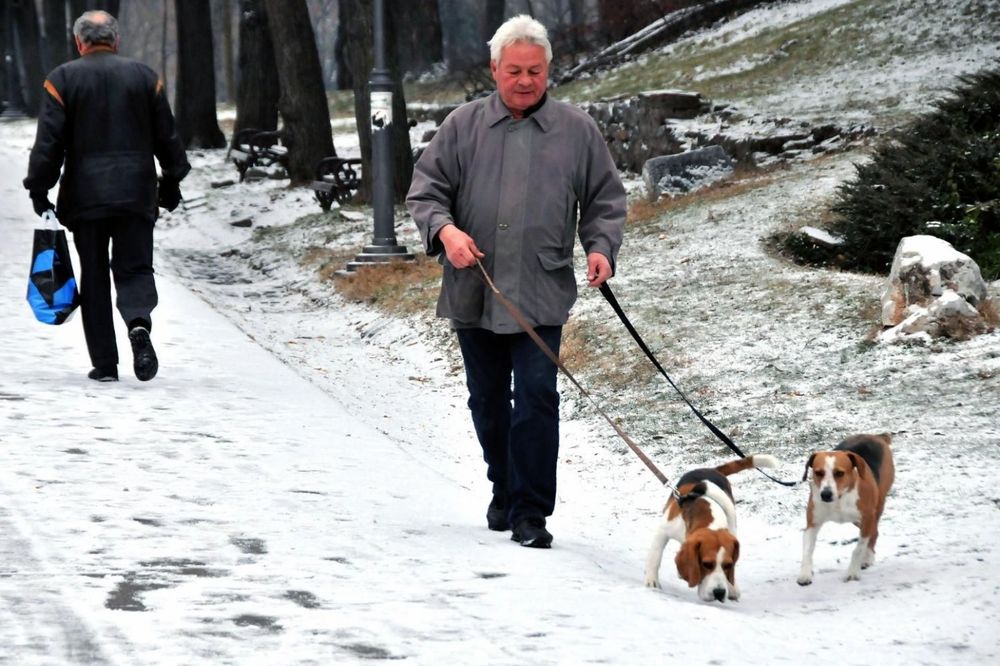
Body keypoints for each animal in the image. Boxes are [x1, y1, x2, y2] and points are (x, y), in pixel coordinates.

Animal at [640, 452, 780, 600]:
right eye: (706, 564)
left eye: (728, 565)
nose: (719, 593)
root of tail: (713, 470)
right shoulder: (663, 531)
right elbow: (655, 556)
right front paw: (652, 580)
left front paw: (731, 586)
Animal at [796, 430, 900, 580]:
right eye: (818, 473)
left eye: (839, 473)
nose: (826, 494)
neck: (840, 499)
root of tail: (877, 436)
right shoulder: (812, 524)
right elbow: (807, 551)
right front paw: (805, 574)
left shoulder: (867, 519)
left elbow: (859, 548)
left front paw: (852, 572)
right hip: (857, 521)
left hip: (876, 508)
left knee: (874, 533)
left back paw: (867, 558)